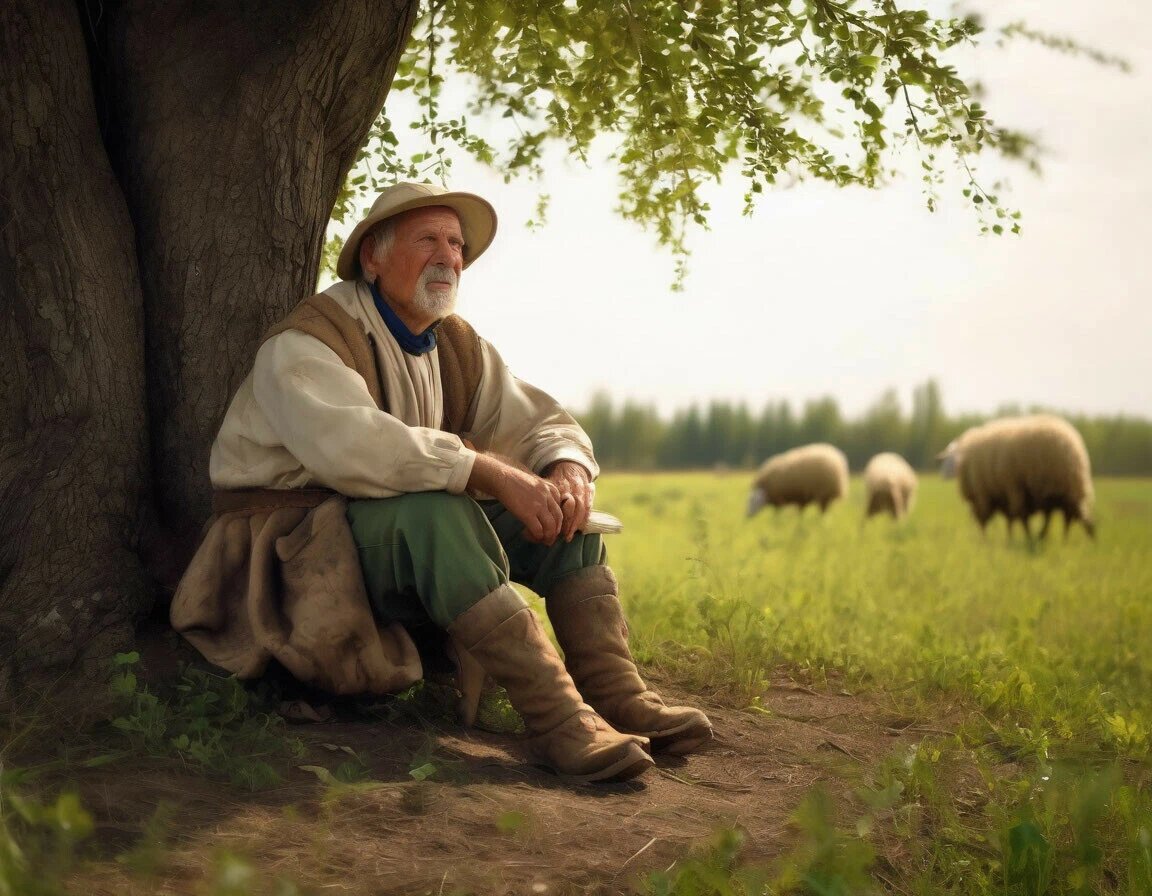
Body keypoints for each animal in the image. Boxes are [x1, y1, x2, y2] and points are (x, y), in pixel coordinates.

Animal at [940, 412, 1092, 536]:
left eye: (949, 462)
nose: (943, 475)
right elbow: (1014, 518)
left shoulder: (1008, 490)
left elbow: (1017, 517)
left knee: (1070, 517)